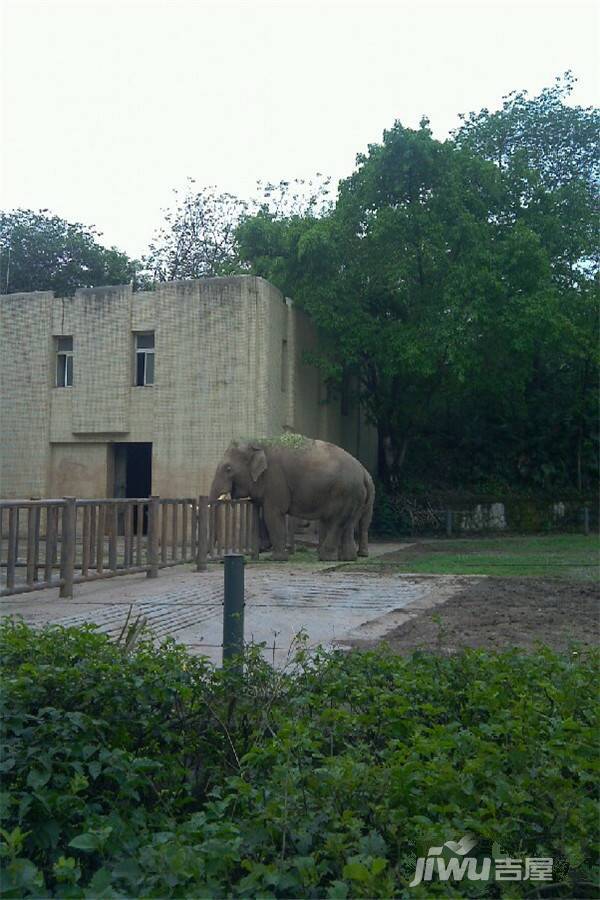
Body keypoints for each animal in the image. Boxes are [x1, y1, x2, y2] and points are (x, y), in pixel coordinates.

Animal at [209, 438, 372, 564]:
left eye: (228, 469)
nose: (219, 560)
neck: (258, 443)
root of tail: (363, 471)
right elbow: (262, 511)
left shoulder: (275, 478)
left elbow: (272, 514)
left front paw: (275, 558)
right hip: (354, 495)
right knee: (348, 522)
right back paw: (348, 558)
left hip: (343, 491)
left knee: (336, 521)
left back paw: (326, 558)